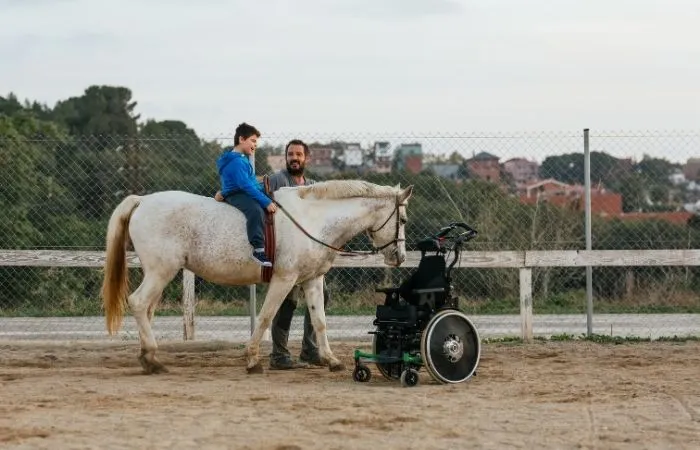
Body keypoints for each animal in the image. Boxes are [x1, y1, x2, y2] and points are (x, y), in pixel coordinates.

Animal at [101, 178, 412, 372]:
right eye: (404, 219)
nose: (399, 257)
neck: (312, 219)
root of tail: (142, 201)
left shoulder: (312, 280)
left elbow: (320, 321)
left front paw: (331, 360)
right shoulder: (284, 279)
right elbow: (265, 317)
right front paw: (252, 359)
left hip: (159, 273)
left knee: (147, 309)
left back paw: (147, 356)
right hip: (161, 271)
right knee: (139, 303)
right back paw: (152, 359)